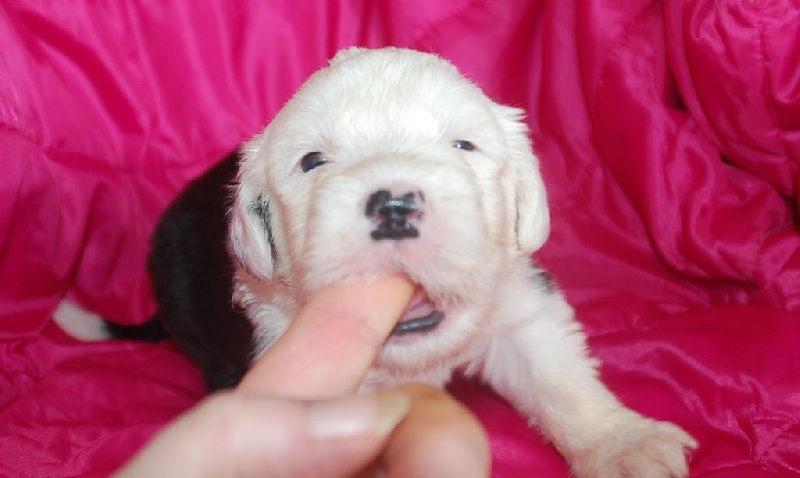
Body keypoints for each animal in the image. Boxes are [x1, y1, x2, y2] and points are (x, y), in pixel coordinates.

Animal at [56, 47, 696, 477]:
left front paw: (625, 444)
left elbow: (557, 376)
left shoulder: (516, 303)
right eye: (313, 161)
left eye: (463, 145)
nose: (393, 205)